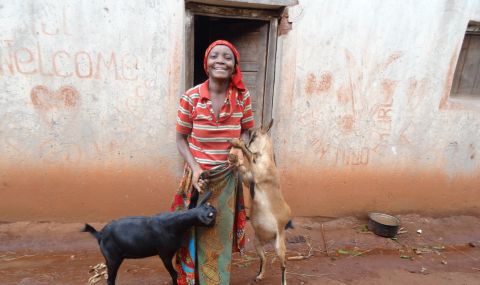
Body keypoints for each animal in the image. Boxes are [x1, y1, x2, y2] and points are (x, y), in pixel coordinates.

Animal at [82, 190, 216, 284]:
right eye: (212, 215)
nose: (215, 209)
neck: (174, 223)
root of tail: (100, 233)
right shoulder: (165, 254)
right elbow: (174, 274)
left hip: (109, 259)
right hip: (113, 258)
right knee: (110, 279)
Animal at [230, 119, 292, 284]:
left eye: (254, 134)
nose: (246, 130)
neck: (265, 159)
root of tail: (268, 239)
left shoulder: (256, 174)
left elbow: (248, 153)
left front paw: (236, 143)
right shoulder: (248, 179)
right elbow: (243, 167)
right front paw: (234, 160)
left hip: (279, 247)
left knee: (283, 265)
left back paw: (283, 281)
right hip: (257, 243)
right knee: (264, 259)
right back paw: (259, 275)